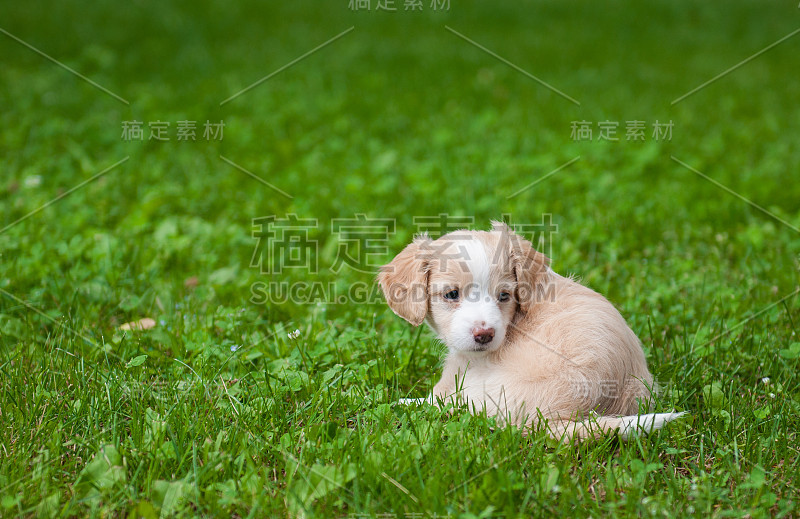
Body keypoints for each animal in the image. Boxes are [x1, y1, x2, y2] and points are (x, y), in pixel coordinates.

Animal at [378, 221, 684, 440]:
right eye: (452, 294)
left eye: (504, 296)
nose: (484, 335)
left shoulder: (460, 371)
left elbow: (435, 396)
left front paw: (402, 400)